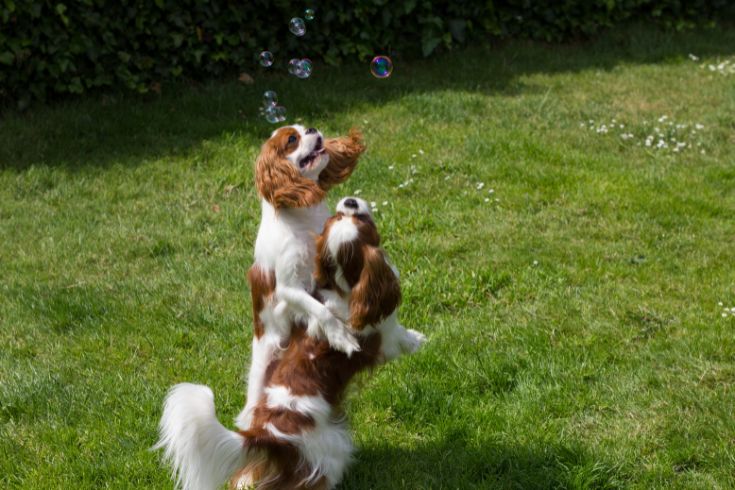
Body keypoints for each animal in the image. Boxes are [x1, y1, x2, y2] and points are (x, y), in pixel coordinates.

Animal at [157, 196, 428, 490]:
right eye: (360, 219)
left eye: (340, 216)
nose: (350, 201)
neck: (344, 287)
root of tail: (264, 434)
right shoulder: (384, 338)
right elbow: (399, 336)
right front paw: (417, 340)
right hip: (328, 452)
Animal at [240, 124, 366, 430]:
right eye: (292, 140)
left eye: (304, 126)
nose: (311, 129)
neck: (303, 217)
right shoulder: (288, 288)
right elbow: (320, 310)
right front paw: (341, 338)